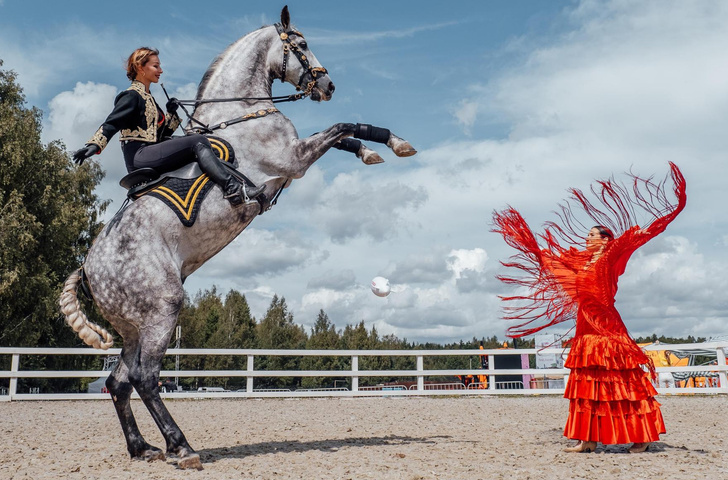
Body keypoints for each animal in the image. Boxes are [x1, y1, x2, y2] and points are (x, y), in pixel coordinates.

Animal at [58, 5, 416, 468]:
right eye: (301, 45)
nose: (327, 85)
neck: (242, 111)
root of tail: (87, 269)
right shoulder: (293, 159)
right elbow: (343, 125)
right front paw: (391, 142)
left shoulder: (296, 156)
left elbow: (344, 135)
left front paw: (376, 149)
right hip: (162, 308)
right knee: (145, 376)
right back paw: (181, 447)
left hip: (133, 326)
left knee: (119, 381)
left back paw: (142, 448)